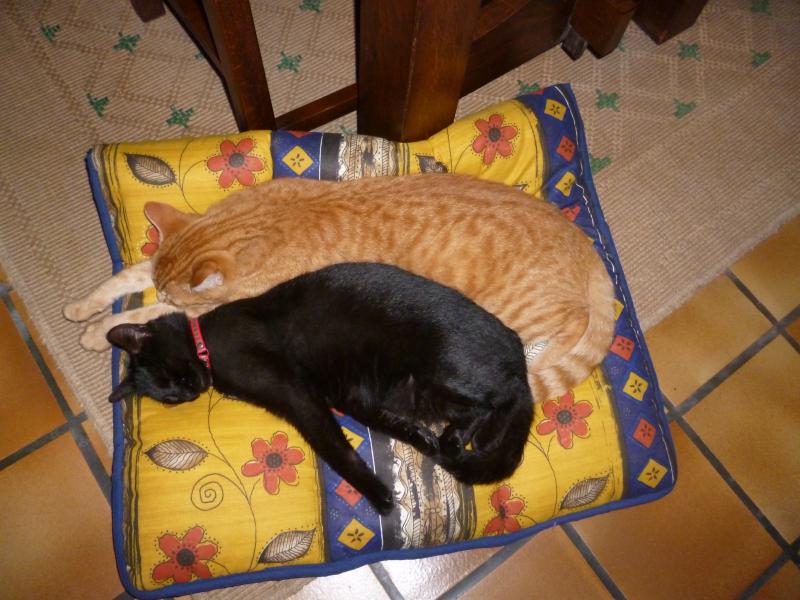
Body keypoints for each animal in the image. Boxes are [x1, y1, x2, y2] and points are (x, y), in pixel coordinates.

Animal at [67, 173, 616, 402]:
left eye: (177, 301)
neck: (259, 221)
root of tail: (583, 241)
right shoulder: (159, 268)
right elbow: (129, 276)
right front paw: (82, 308)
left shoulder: (206, 311)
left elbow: (140, 313)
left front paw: (99, 331)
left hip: (519, 308)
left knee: (572, 325)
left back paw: (539, 356)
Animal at [106, 262, 534, 515]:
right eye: (169, 396)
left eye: (170, 372)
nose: (188, 389)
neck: (207, 345)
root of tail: (517, 351)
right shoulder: (351, 398)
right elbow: (386, 424)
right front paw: (418, 440)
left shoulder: (296, 395)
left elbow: (333, 448)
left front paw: (378, 496)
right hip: (415, 391)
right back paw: (450, 440)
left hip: (442, 373)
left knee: (498, 400)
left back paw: (458, 440)